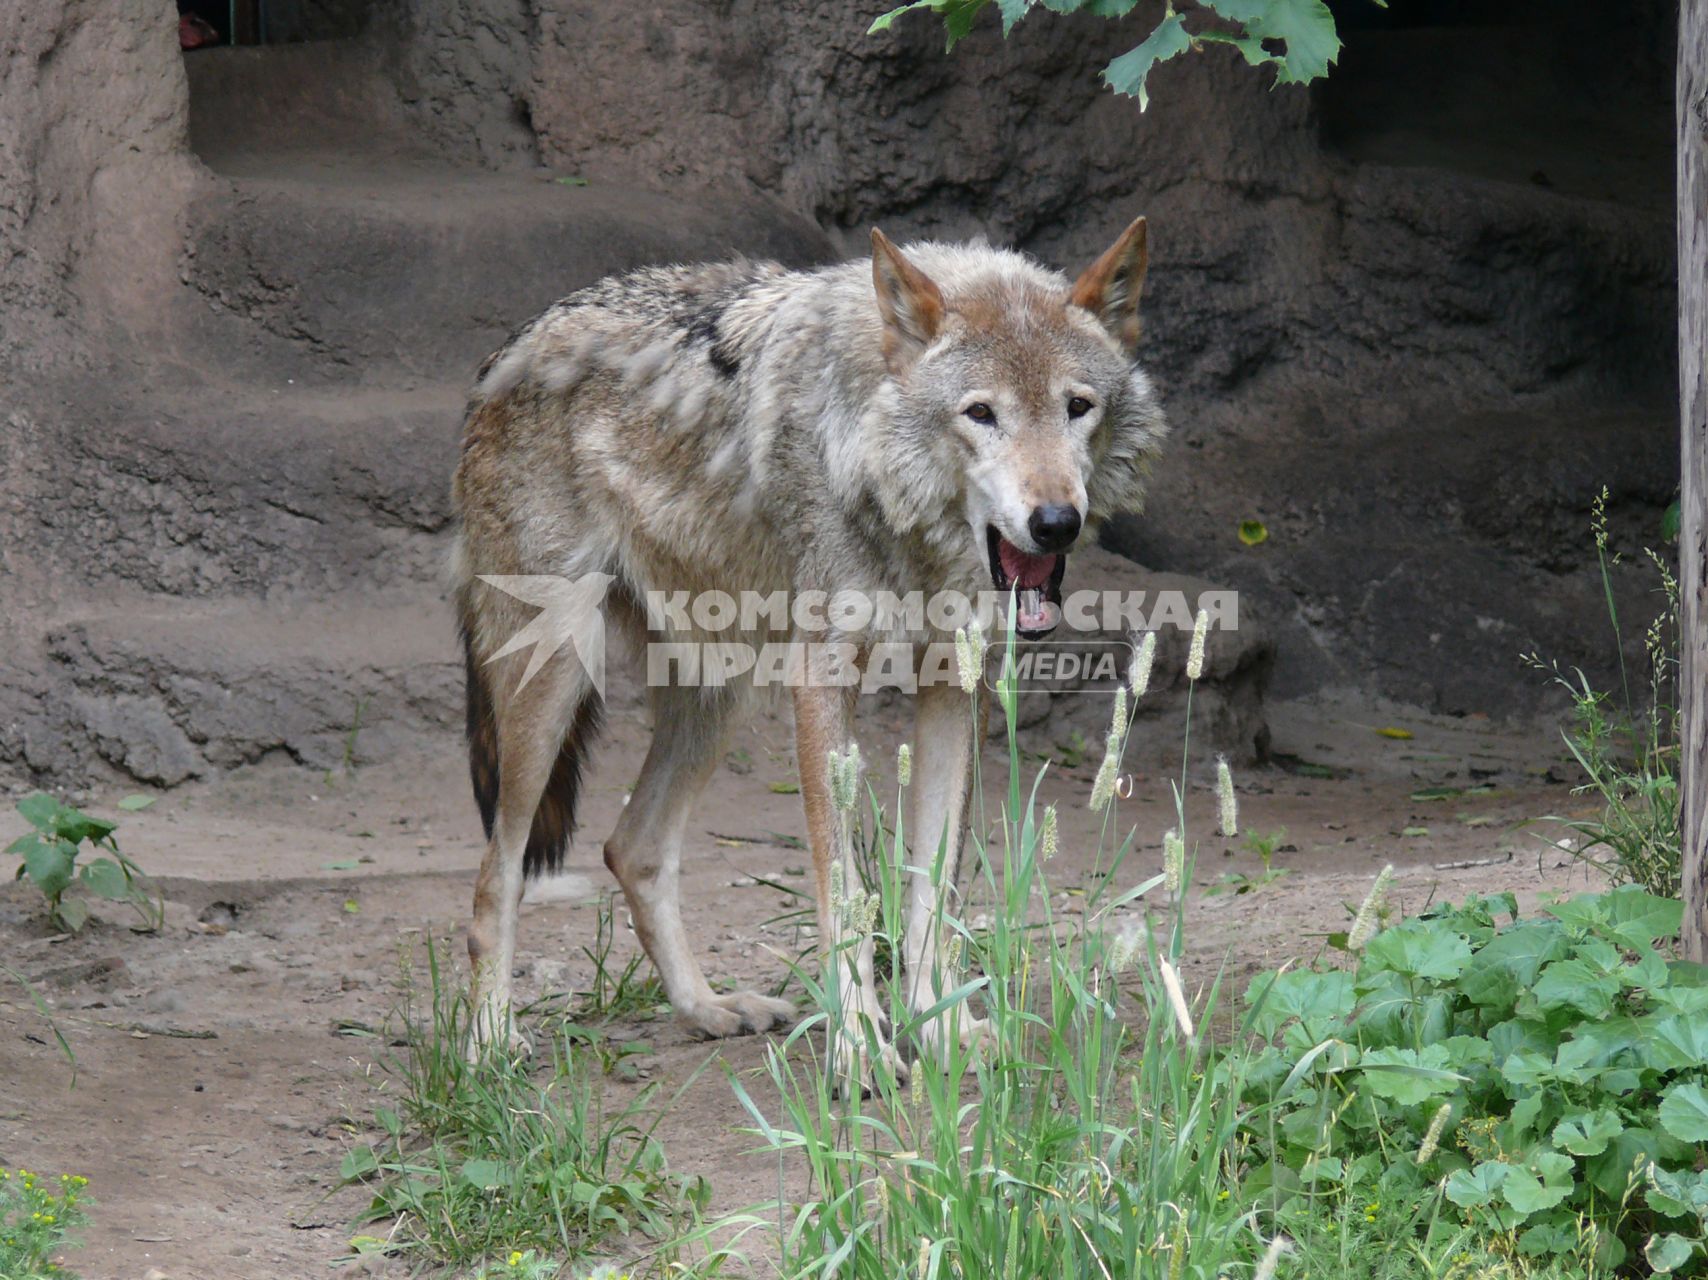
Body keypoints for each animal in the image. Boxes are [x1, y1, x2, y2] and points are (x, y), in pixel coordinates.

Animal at [454, 217, 1168, 1066]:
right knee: (497, 871)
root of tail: (505, 350)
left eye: (1077, 407)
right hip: (553, 685)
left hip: (718, 696)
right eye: (981, 413)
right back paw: (490, 1040)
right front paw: (859, 1049)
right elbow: (845, 888)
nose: (1054, 521)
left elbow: (932, 883)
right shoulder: (823, 675)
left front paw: (944, 1029)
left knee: (632, 846)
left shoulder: (954, 683)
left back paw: (705, 1008)